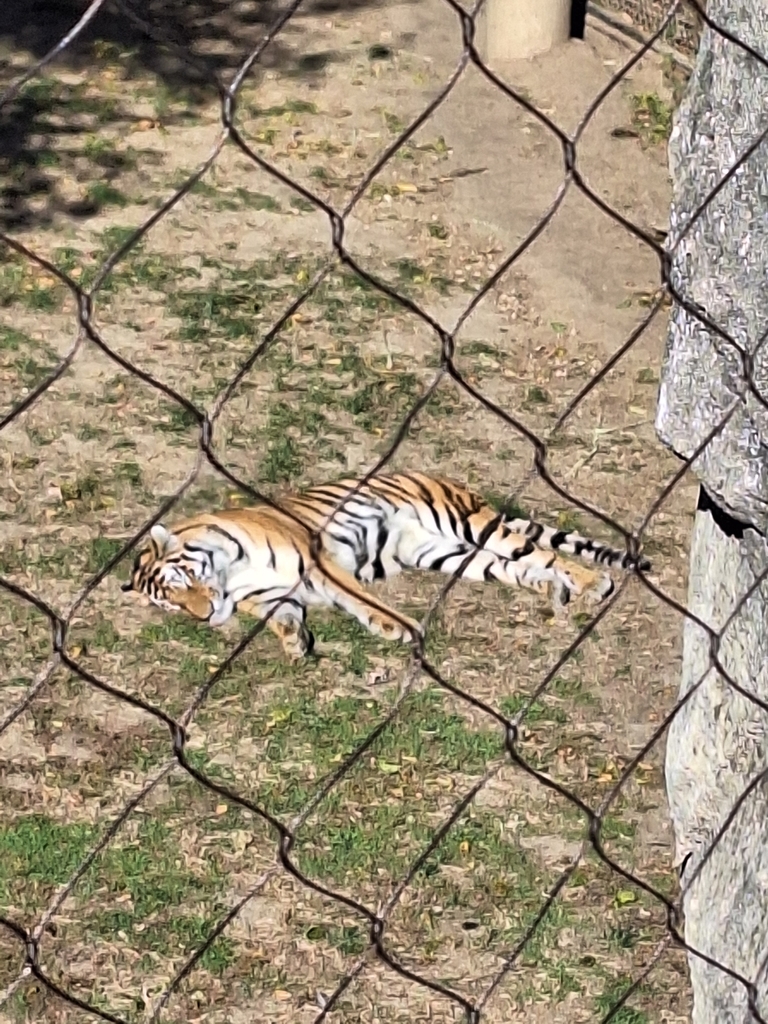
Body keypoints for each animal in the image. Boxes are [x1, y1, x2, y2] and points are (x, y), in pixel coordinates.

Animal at [122, 471, 650, 661]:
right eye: (171, 605)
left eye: (183, 579)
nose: (205, 616)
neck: (230, 579)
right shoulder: (272, 598)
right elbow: (285, 618)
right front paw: (295, 645)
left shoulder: (317, 561)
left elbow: (358, 599)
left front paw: (396, 627)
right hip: (448, 553)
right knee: (524, 568)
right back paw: (553, 591)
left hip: (471, 525)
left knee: (548, 554)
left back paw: (593, 583)